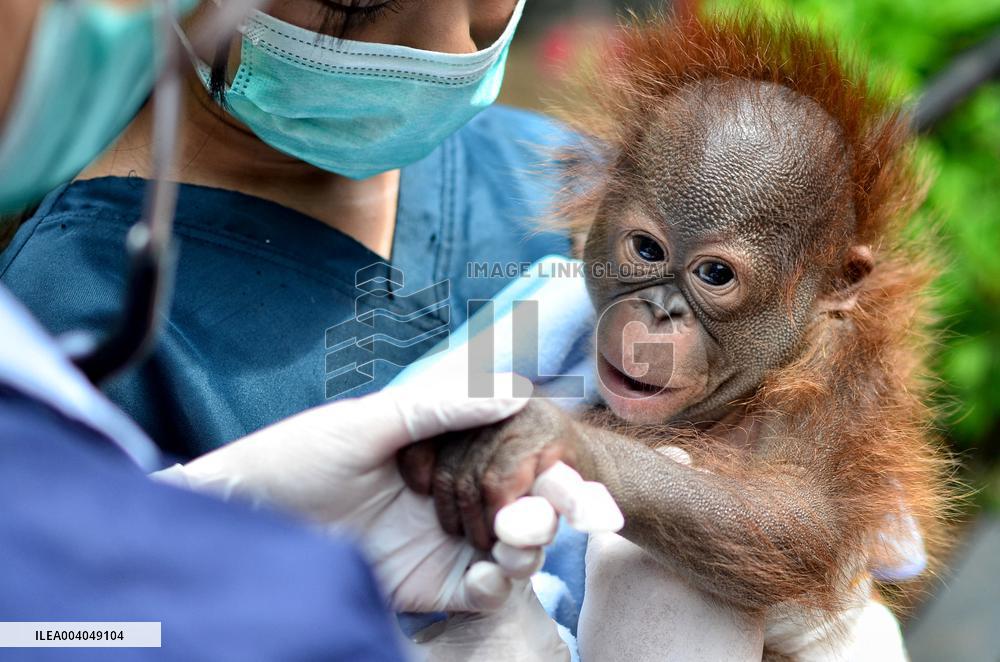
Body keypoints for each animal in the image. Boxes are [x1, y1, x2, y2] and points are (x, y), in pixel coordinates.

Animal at [398, 10, 952, 659]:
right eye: (646, 249)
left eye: (714, 275)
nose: (661, 311)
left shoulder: (839, 374)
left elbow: (796, 516)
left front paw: (555, 444)